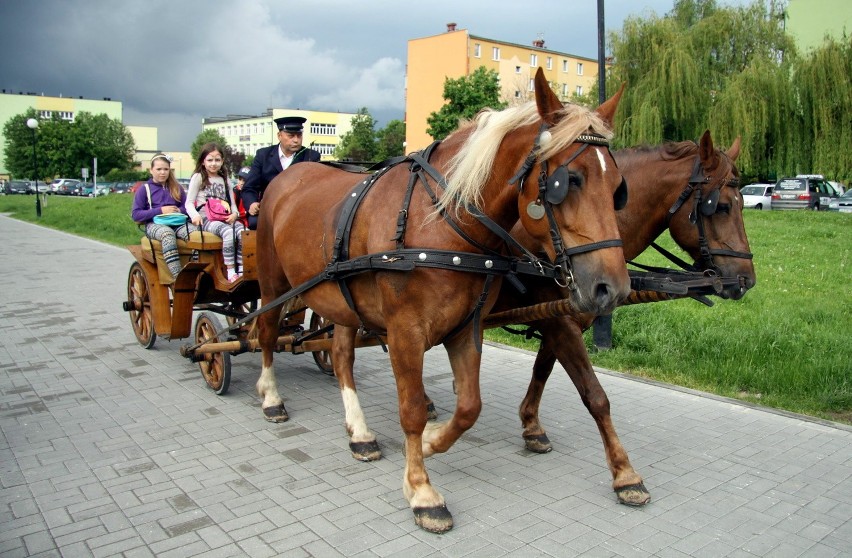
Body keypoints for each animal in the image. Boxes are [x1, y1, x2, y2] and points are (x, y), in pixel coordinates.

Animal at [256, 69, 628, 532]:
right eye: (568, 180)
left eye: (617, 188)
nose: (612, 289)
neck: (444, 222)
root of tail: (289, 177)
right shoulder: (404, 332)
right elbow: (413, 408)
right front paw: (421, 490)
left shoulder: (465, 328)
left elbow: (469, 406)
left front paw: (432, 442)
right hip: (272, 284)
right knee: (265, 334)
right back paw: (270, 397)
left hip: (341, 298)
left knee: (341, 356)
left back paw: (359, 432)